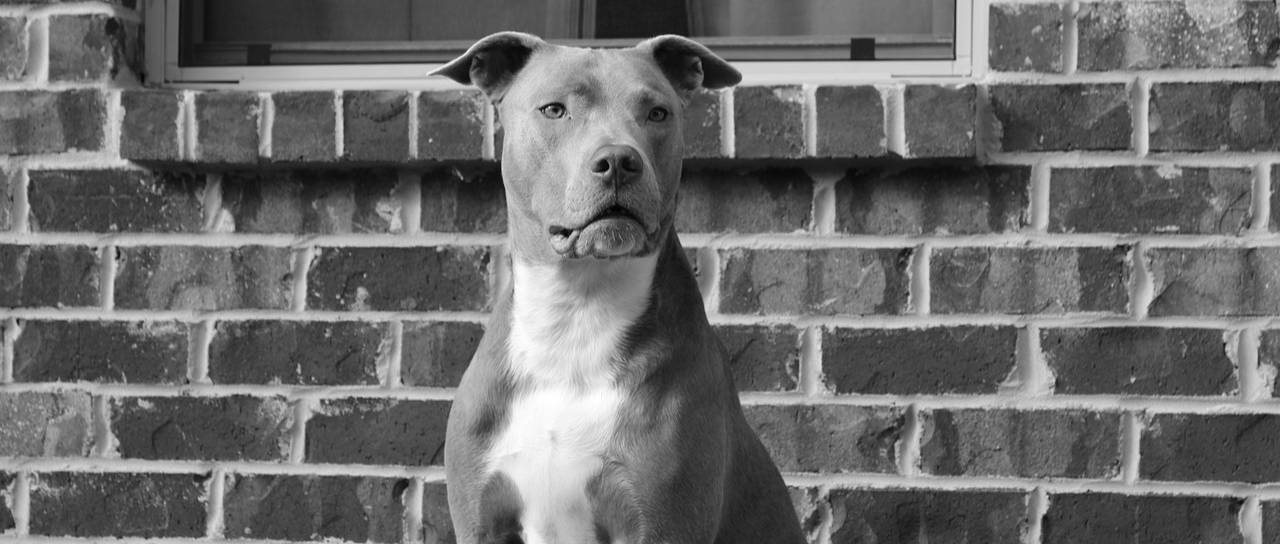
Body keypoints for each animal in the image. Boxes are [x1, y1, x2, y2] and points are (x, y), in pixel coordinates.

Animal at [431, 32, 806, 544]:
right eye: (554, 109)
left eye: (658, 113)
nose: (618, 161)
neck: (576, 313)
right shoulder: (480, 521)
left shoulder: (662, 523)